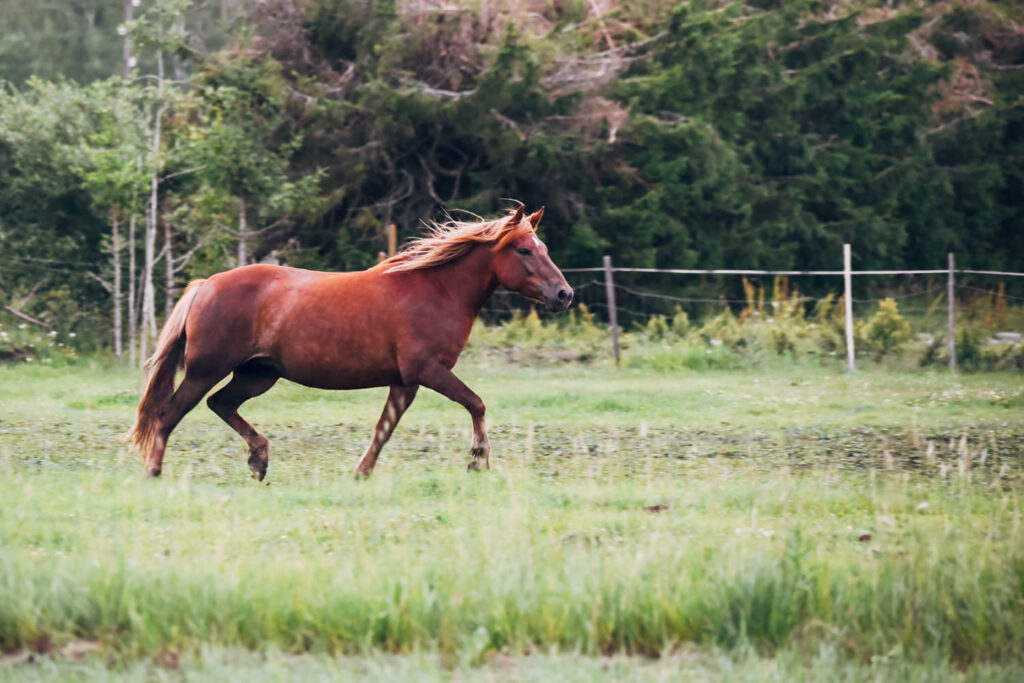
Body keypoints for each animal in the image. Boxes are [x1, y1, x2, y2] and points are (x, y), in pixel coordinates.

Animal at [124, 206, 573, 481]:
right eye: (523, 249)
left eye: (545, 247)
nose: (563, 295)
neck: (436, 290)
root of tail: (205, 285)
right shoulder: (427, 370)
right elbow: (476, 403)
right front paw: (479, 459)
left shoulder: (404, 381)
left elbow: (383, 429)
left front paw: (361, 473)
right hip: (206, 370)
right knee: (168, 414)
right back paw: (155, 473)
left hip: (258, 375)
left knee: (220, 404)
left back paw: (259, 459)